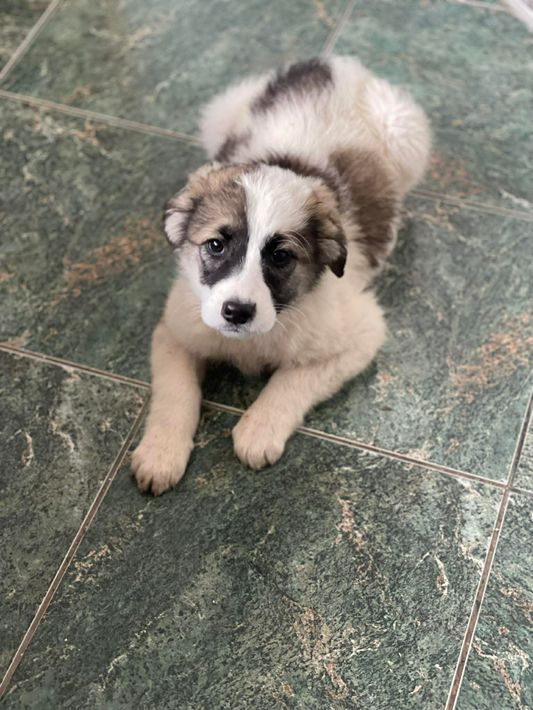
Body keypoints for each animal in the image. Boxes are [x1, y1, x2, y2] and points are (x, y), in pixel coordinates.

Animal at [131, 55, 431, 495]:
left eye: (280, 256)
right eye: (215, 245)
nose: (236, 313)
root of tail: (334, 64)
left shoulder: (359, 335)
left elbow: (292, 380)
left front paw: (259, 429)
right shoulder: (176, 331)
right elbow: (176, 392)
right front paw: (161, 453)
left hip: (405, 132)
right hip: (222, 111)